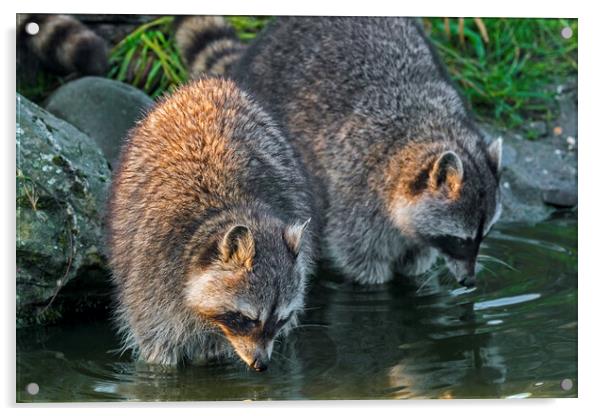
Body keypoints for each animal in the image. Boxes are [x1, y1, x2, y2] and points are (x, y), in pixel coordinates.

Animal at [105, 79, 316, 370]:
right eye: (246, 319)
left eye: (279, 320)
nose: (261, 365)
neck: (232, 209)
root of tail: (208, 84)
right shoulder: (154, 275)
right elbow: (157, 342)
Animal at [227, 17, 500, 288]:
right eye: (459, 241)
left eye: (483, 236)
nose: (469, 281)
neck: (430, 127)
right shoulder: (359, 187)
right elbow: (359, 255)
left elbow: (417, 252)